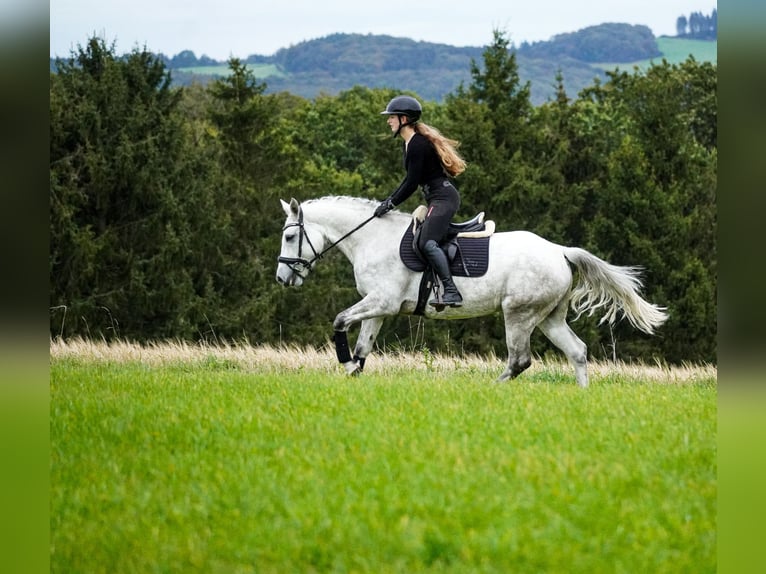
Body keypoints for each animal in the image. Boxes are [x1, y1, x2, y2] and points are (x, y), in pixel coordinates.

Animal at [274, 196, 664, 390]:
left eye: (290, 236)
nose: (282, 279)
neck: (372, 238)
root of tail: (560, 252)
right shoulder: (380, 308)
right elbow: (363, 347)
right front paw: (352, 373)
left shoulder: (381, 302)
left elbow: (340, 321)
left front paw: (343, 364)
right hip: (549, 317)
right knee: (578, 352)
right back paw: (582, 396)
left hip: (518, 314)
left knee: (520, 360)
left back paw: (491, 388)